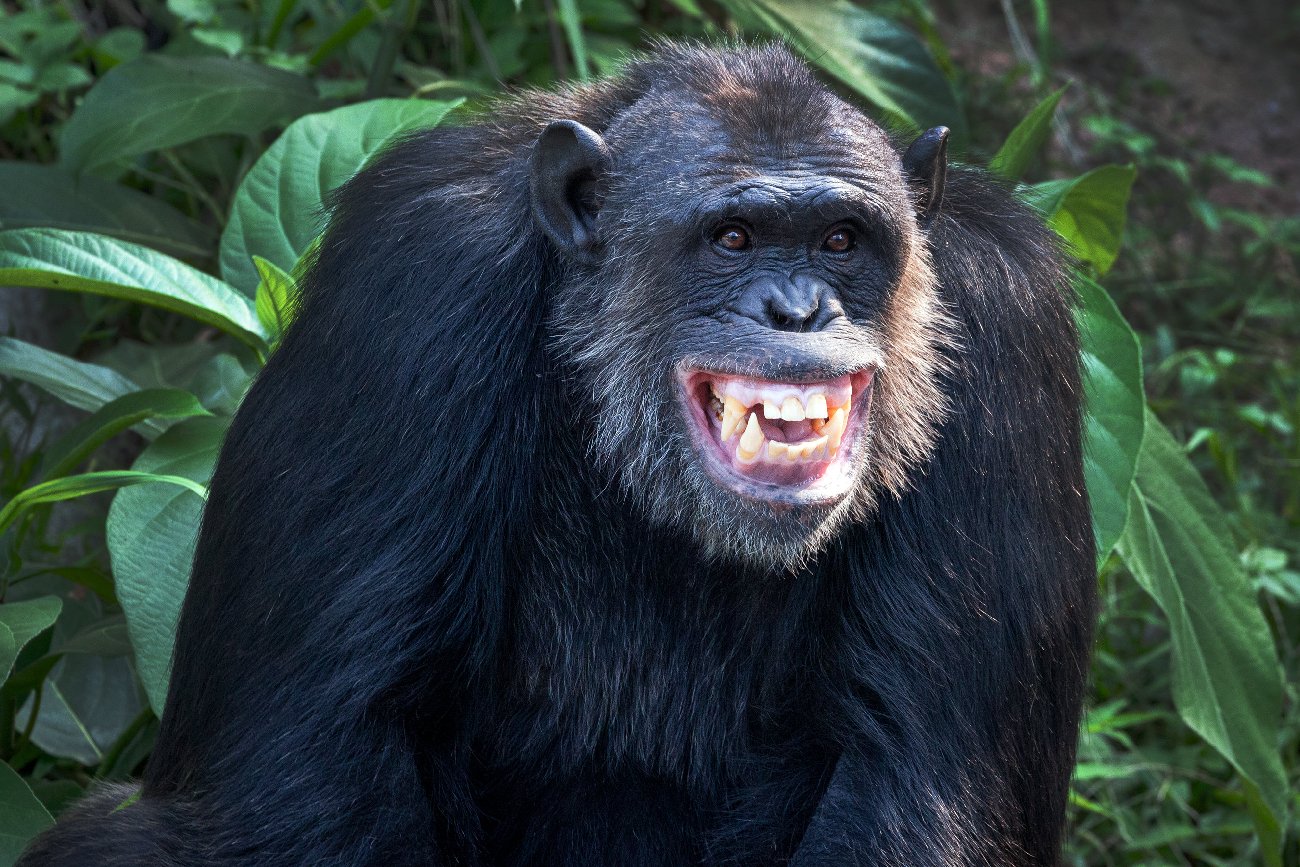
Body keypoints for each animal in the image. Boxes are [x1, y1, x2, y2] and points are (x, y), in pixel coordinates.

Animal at [20, 40, 1097, 867]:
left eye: (841, 239)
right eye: (733, 237)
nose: (798, 309)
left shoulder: (1007, 324)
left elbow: (911, 777)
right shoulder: (407, 288)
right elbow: (303, 769)